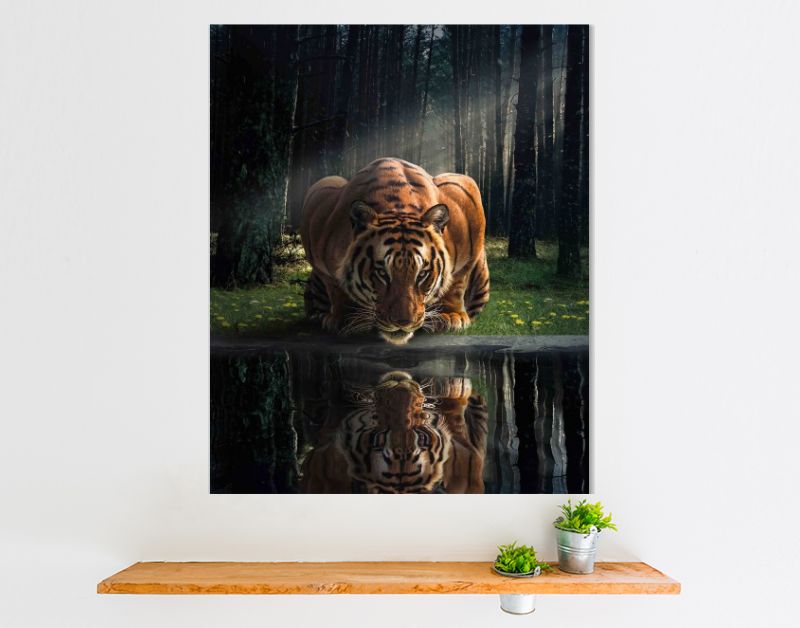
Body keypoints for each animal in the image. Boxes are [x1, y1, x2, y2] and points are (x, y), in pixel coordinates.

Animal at [299, 158, 490, 345]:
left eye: (422, 274)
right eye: (382, 273)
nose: (403, 322)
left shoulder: (466, 203)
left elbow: (457, 282)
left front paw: (450, 316)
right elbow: (335, 286)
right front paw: (347, 319)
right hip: (327, 181)